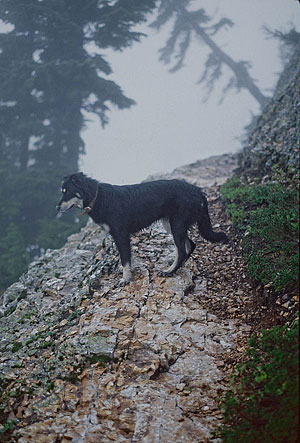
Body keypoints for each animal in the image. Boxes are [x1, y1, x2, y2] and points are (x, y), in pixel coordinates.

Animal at [56, 173, 227, 284]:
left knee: (183, 250)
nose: (56, 207)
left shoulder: (121, 235)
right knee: (189, 245)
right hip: (171, 224)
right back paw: (177, 268)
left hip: (176, 224)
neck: (98, 197)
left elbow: (125, 260)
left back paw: (169, 271)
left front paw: (125, 279)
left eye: (67, 191)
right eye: (62, 191)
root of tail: (197, 190)